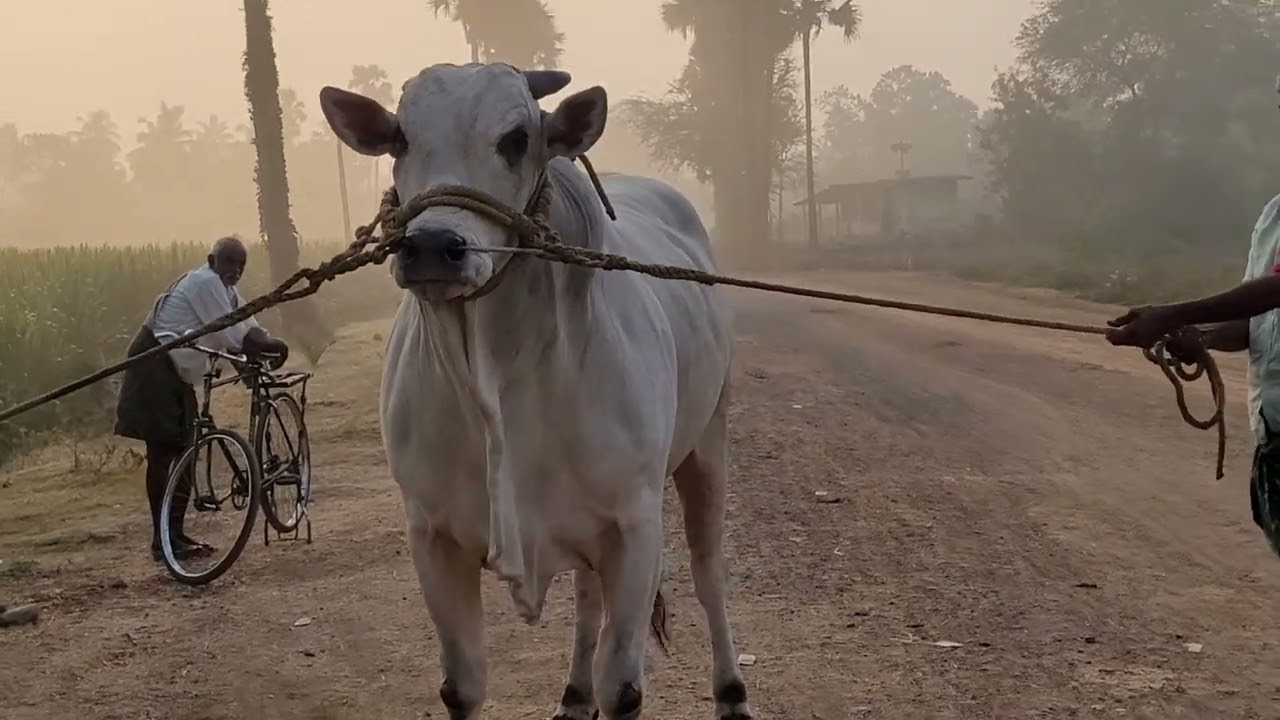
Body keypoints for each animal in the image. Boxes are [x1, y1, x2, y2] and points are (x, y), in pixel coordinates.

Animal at [319, 62, 754, 720]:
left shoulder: (634, 528)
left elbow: (623, 688)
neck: (498, 375)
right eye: (398, 139)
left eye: (517, 138)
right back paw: (574, 695)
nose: (431, 247)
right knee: (587, 597)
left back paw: (731, 691)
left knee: (709, 573)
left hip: (707, 443)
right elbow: (462, 685)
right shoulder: (432, 537)